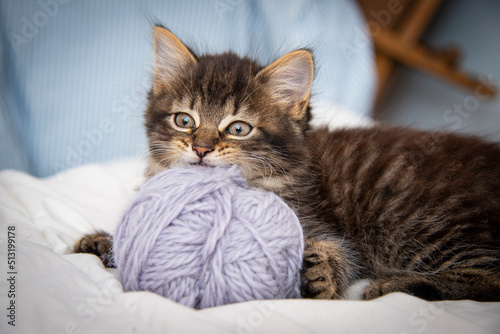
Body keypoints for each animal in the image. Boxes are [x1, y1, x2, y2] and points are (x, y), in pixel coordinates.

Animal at [74, 27, 500, 302]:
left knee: (490, 278)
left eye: (238, 128)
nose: (201, 148)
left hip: (426, 224)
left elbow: (337, 250)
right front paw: (102, 242)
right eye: (184, 120)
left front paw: (322, 277)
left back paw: (395, 285)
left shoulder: (319, 222)